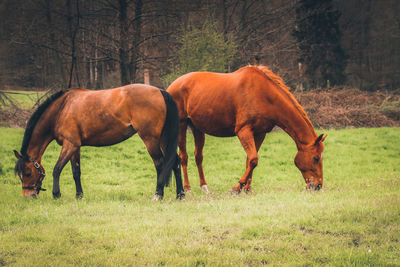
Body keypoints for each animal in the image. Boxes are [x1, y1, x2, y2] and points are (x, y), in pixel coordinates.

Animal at [13, 84, 185, 201]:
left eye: (28, 173)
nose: (28, 195)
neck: (62, 109)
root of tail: (160, 92)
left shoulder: (69, 144)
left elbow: (57, 169)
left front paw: (56, 194)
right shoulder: (75, 147)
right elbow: (76, 172)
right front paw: (79, 195)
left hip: (150, 139)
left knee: (160, 164)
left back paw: (158, 194)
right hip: (162, 139)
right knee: (175, 162)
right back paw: (180, 195)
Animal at [167, 65, 326, 194]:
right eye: (316, 158)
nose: (318, 186)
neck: (263, 94)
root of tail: (171, 86)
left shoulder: (260, 133)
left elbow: (250, 160)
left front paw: (247, 188)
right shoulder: (243, 131)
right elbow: (253, 159)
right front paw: (237, 187)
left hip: (197, 128)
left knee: (198, 157)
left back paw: (204, 187)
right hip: (182, 125)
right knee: (184, 156)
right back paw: (187, 188)